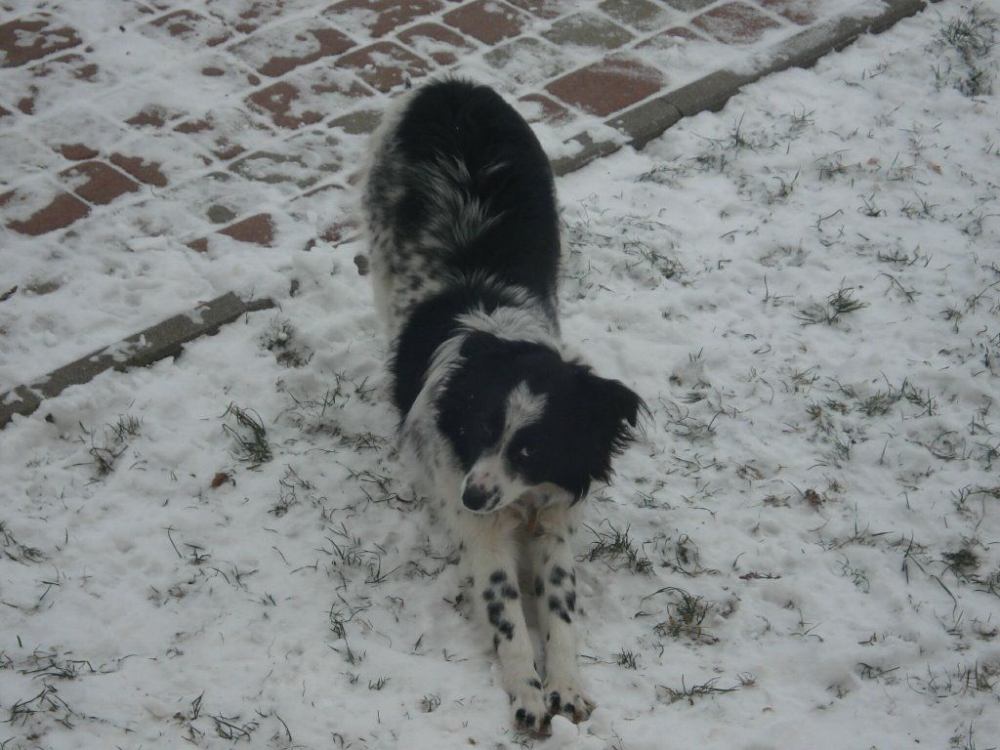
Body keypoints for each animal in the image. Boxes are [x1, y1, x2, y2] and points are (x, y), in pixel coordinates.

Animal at [362, 79, 643, 734]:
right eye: (478, 427)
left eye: (532, 448)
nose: (471, 496)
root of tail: (452, 88)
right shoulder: (479, 523)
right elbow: (505, 610)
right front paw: (525, 695)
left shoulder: (554, 514)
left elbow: (561, 604)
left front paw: (566, 686)